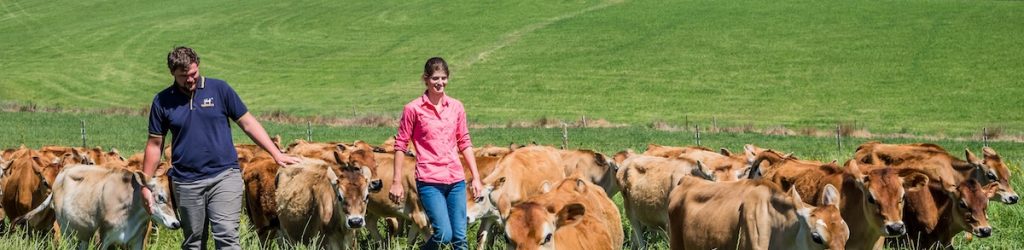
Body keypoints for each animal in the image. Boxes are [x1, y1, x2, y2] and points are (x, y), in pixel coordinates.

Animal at [18, 162, 180, 248]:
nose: (176, 223)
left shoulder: (137, 242)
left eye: (175, 199)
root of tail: (66, 168)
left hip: (83, 232)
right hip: (66, 229)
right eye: (160, 197)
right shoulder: (100, 239)